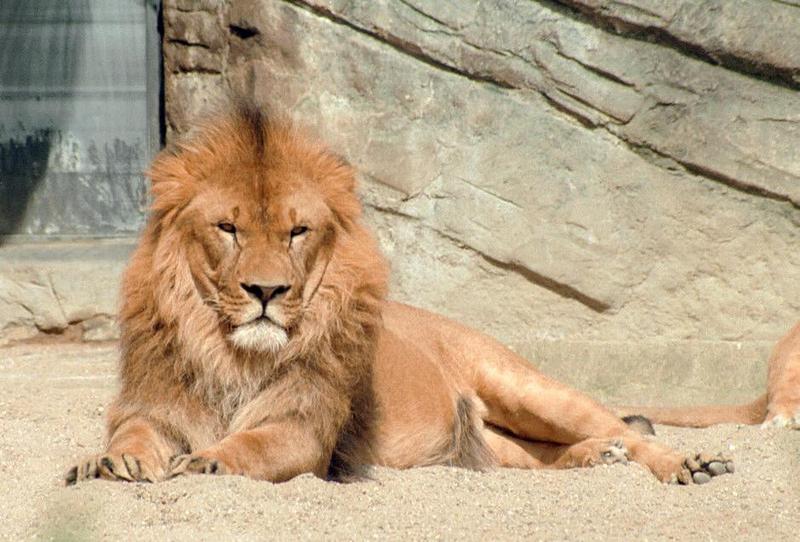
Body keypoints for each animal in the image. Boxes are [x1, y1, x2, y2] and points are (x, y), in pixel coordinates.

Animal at [67, 101, 732, 488]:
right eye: (228, 228)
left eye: (296, 232)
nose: (266, 290)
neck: (230, 351)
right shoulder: (150, 407)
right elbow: (129, 437)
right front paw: (107, 464)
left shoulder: (304, 426)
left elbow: (254, 444)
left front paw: (210, 459)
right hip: (501, 446)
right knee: (550, 455)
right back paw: (596, 459)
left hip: (526, 387)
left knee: (631, 431)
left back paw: (692, 464)